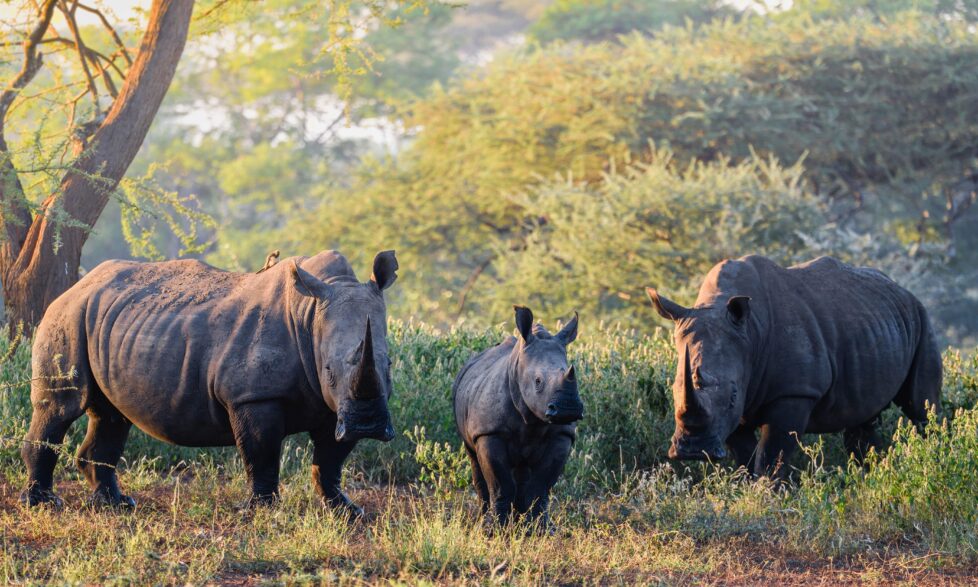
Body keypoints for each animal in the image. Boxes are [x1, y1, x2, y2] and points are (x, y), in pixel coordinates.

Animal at [22, 250, 399, 514]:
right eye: (329, 371)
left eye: (389, 365)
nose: (367, 424)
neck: (310, 314)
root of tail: (75, 286)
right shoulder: (252, 395)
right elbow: (262, 453)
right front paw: (261, 511)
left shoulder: (335, 406)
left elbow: (331, 460)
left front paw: (345, 510)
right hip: (66, 315)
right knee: (61, 408)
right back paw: (44, 504)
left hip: (106, 321)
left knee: (111, 416)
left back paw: (117, 504)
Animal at [453, 306, 582, 529]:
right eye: (537, 381)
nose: (569, 409)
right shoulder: (489, 432)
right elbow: (500, 483)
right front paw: (494, 529)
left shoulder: (562, 435)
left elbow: (541, 485)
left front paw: (541, 528)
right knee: (474, 459)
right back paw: (483, 519)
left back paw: (520, 520)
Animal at [647, 255, 942, 478]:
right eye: (673, 391)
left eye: (732, 396)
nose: (692, 452)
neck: (749, 335)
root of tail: (900, 288)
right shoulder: (734, 407)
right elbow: (745, 455)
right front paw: (750, 490)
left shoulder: (794, 392)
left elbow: (771, 453)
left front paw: (768, 495)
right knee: (863, 420)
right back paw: (870, 476)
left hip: (921, 317)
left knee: (921, 407)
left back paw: (933, 459)